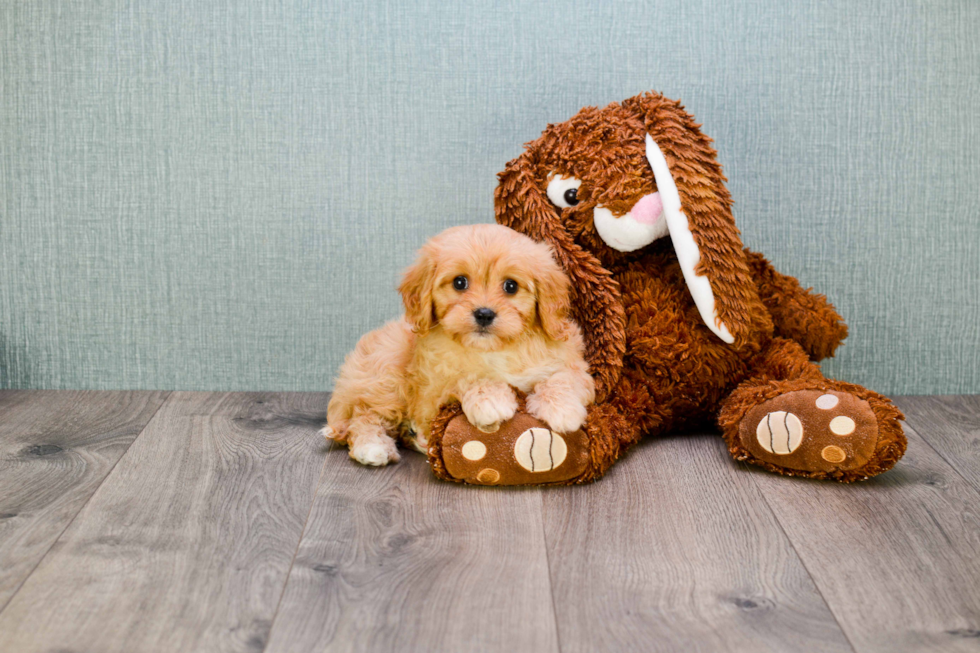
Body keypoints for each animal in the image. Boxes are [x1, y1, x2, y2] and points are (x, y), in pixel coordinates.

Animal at [324, 223, 596, 464]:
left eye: (511, 286)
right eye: (459, 282)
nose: (484, 314)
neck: (493, 349)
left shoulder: (571, 361)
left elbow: (563, 377)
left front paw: (562, 409)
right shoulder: (432, 391)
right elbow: (464, 377)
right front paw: (490, 400)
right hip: (387, 372)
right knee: (364, 415)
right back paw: (372, 447)